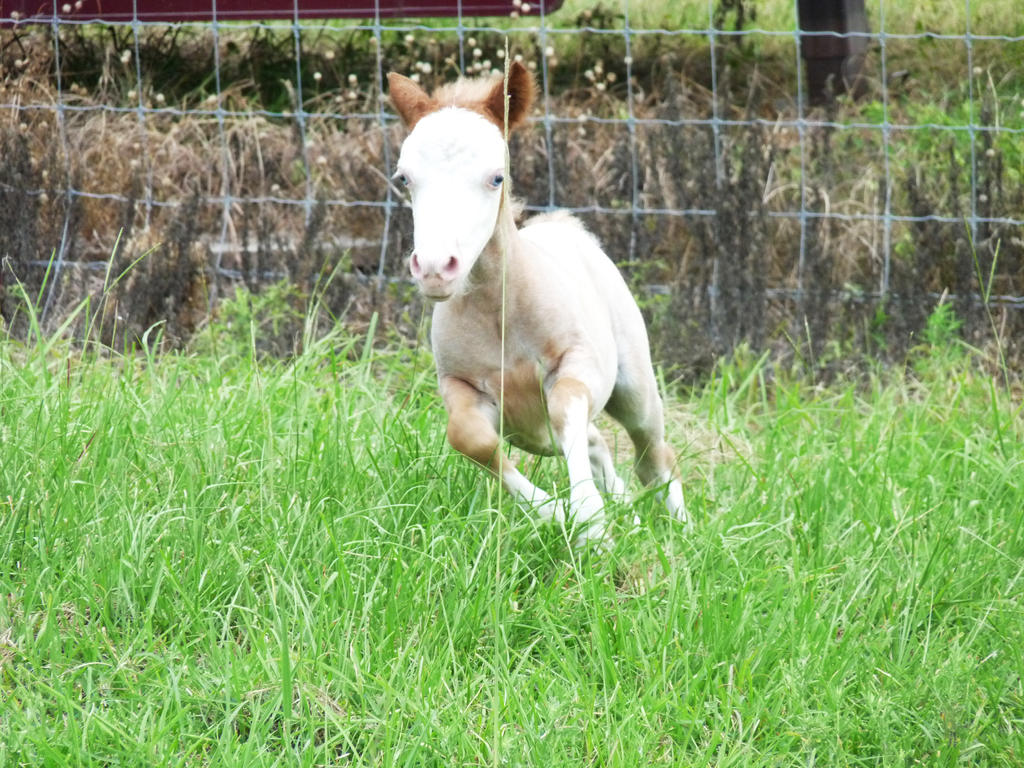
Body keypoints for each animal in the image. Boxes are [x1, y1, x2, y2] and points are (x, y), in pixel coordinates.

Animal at [387, 61, 684, 548]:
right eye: (404, 179)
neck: (501, 318)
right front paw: (562, 514)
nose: (434, 268)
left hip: (635, 388)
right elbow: (470, 439)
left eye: (496, 177)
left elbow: (564, 405)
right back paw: (629, 517)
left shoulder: (575, 362)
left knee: (653, 455)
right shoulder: (461, 386)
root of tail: (567, 229)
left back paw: (683, 530)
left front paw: (589, 520)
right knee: (597, 442)